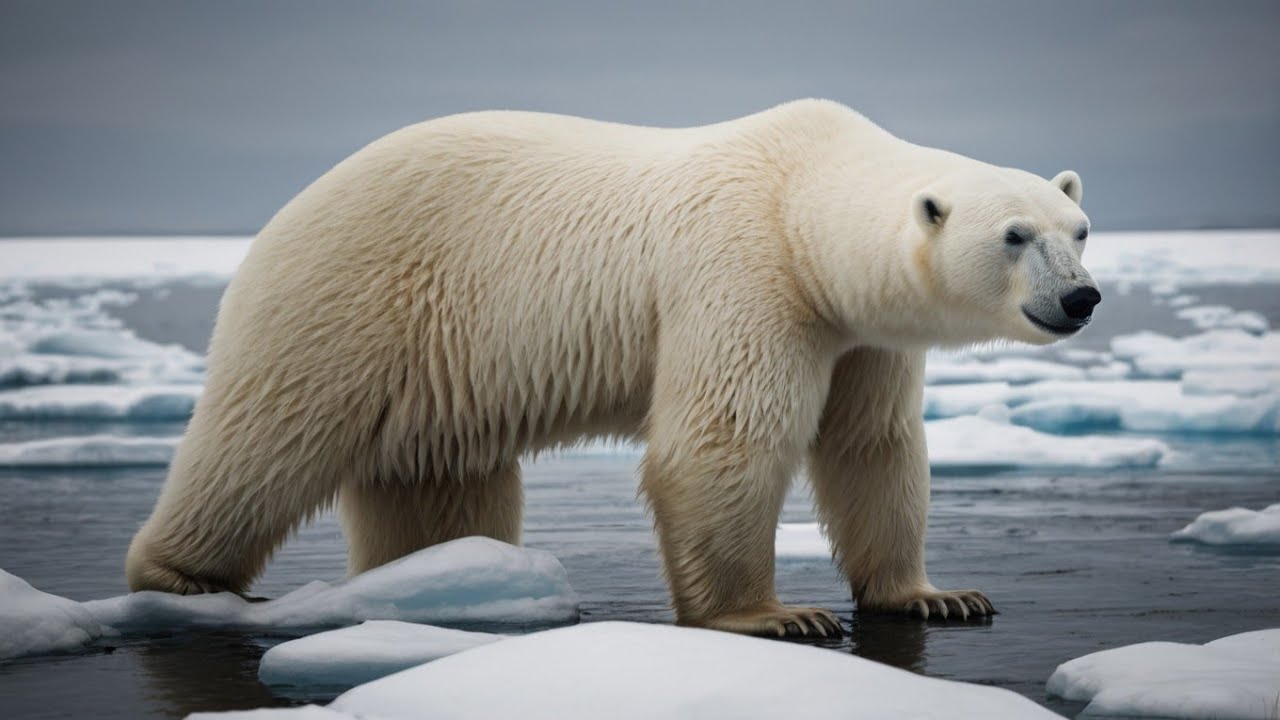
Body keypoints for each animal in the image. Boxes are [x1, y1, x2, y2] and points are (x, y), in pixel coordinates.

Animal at [126, 99, 1098, 637]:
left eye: (1078, 229)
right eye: (1014, 235)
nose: (1082, 297)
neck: (797, 200)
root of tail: (288, 210)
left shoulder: (860, 333)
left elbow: (874, 446)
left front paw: (936, 596)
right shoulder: (743, 275)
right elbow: (723, 442)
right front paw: (776, 614)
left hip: (437, 361)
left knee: (437, 477)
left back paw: (443, 576)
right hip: (350, 297)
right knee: (266, 440)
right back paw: (179, 576)